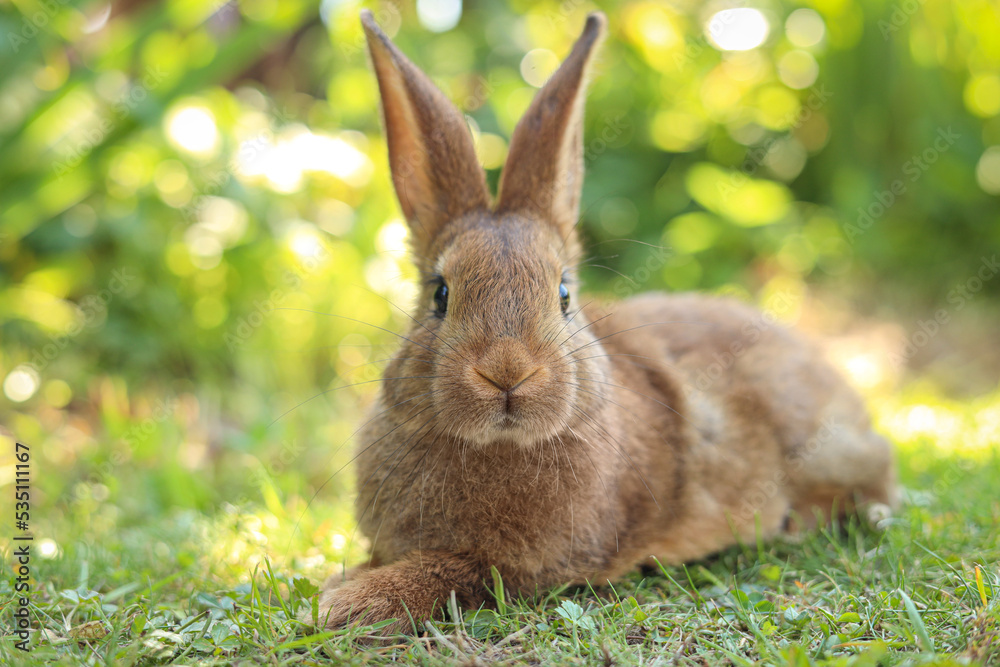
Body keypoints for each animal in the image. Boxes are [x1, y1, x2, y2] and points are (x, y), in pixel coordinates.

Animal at [302, 10, 897, 636]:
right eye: (440, 294)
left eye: (564, 293)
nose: (507, 371)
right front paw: (339, 585)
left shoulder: (519, 568)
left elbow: (445, 574)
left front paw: (344, 602)